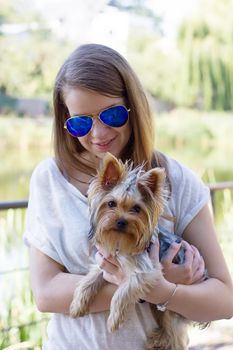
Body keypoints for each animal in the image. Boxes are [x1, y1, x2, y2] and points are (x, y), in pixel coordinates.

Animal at [70, 153, 189, 350]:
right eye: (111, 204)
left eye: (136, 209)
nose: (121, 221)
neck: (121, 242)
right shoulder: (105, 261)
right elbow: (90, 280)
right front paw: (77, 305)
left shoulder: (146, 272)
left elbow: (123, 291)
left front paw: (114, 319)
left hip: (172, 310)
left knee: (174, 334)